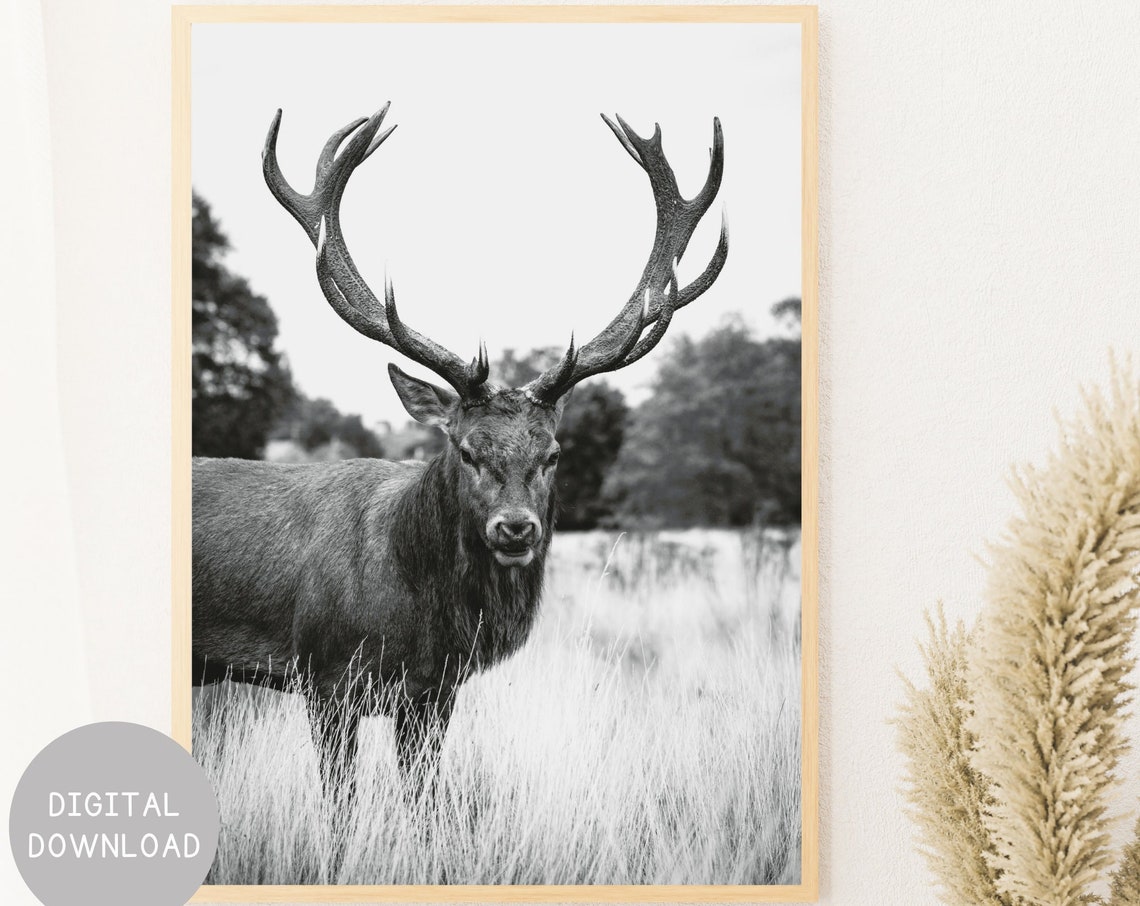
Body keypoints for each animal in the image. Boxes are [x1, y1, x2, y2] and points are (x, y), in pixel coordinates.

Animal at [191, 103, 728, 801]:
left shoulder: (434, 693)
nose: (515, 528)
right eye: (468, 450)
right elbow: (340, 808)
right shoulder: (325, 677)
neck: (420, 617)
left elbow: (424, 803)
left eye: (553, 453)